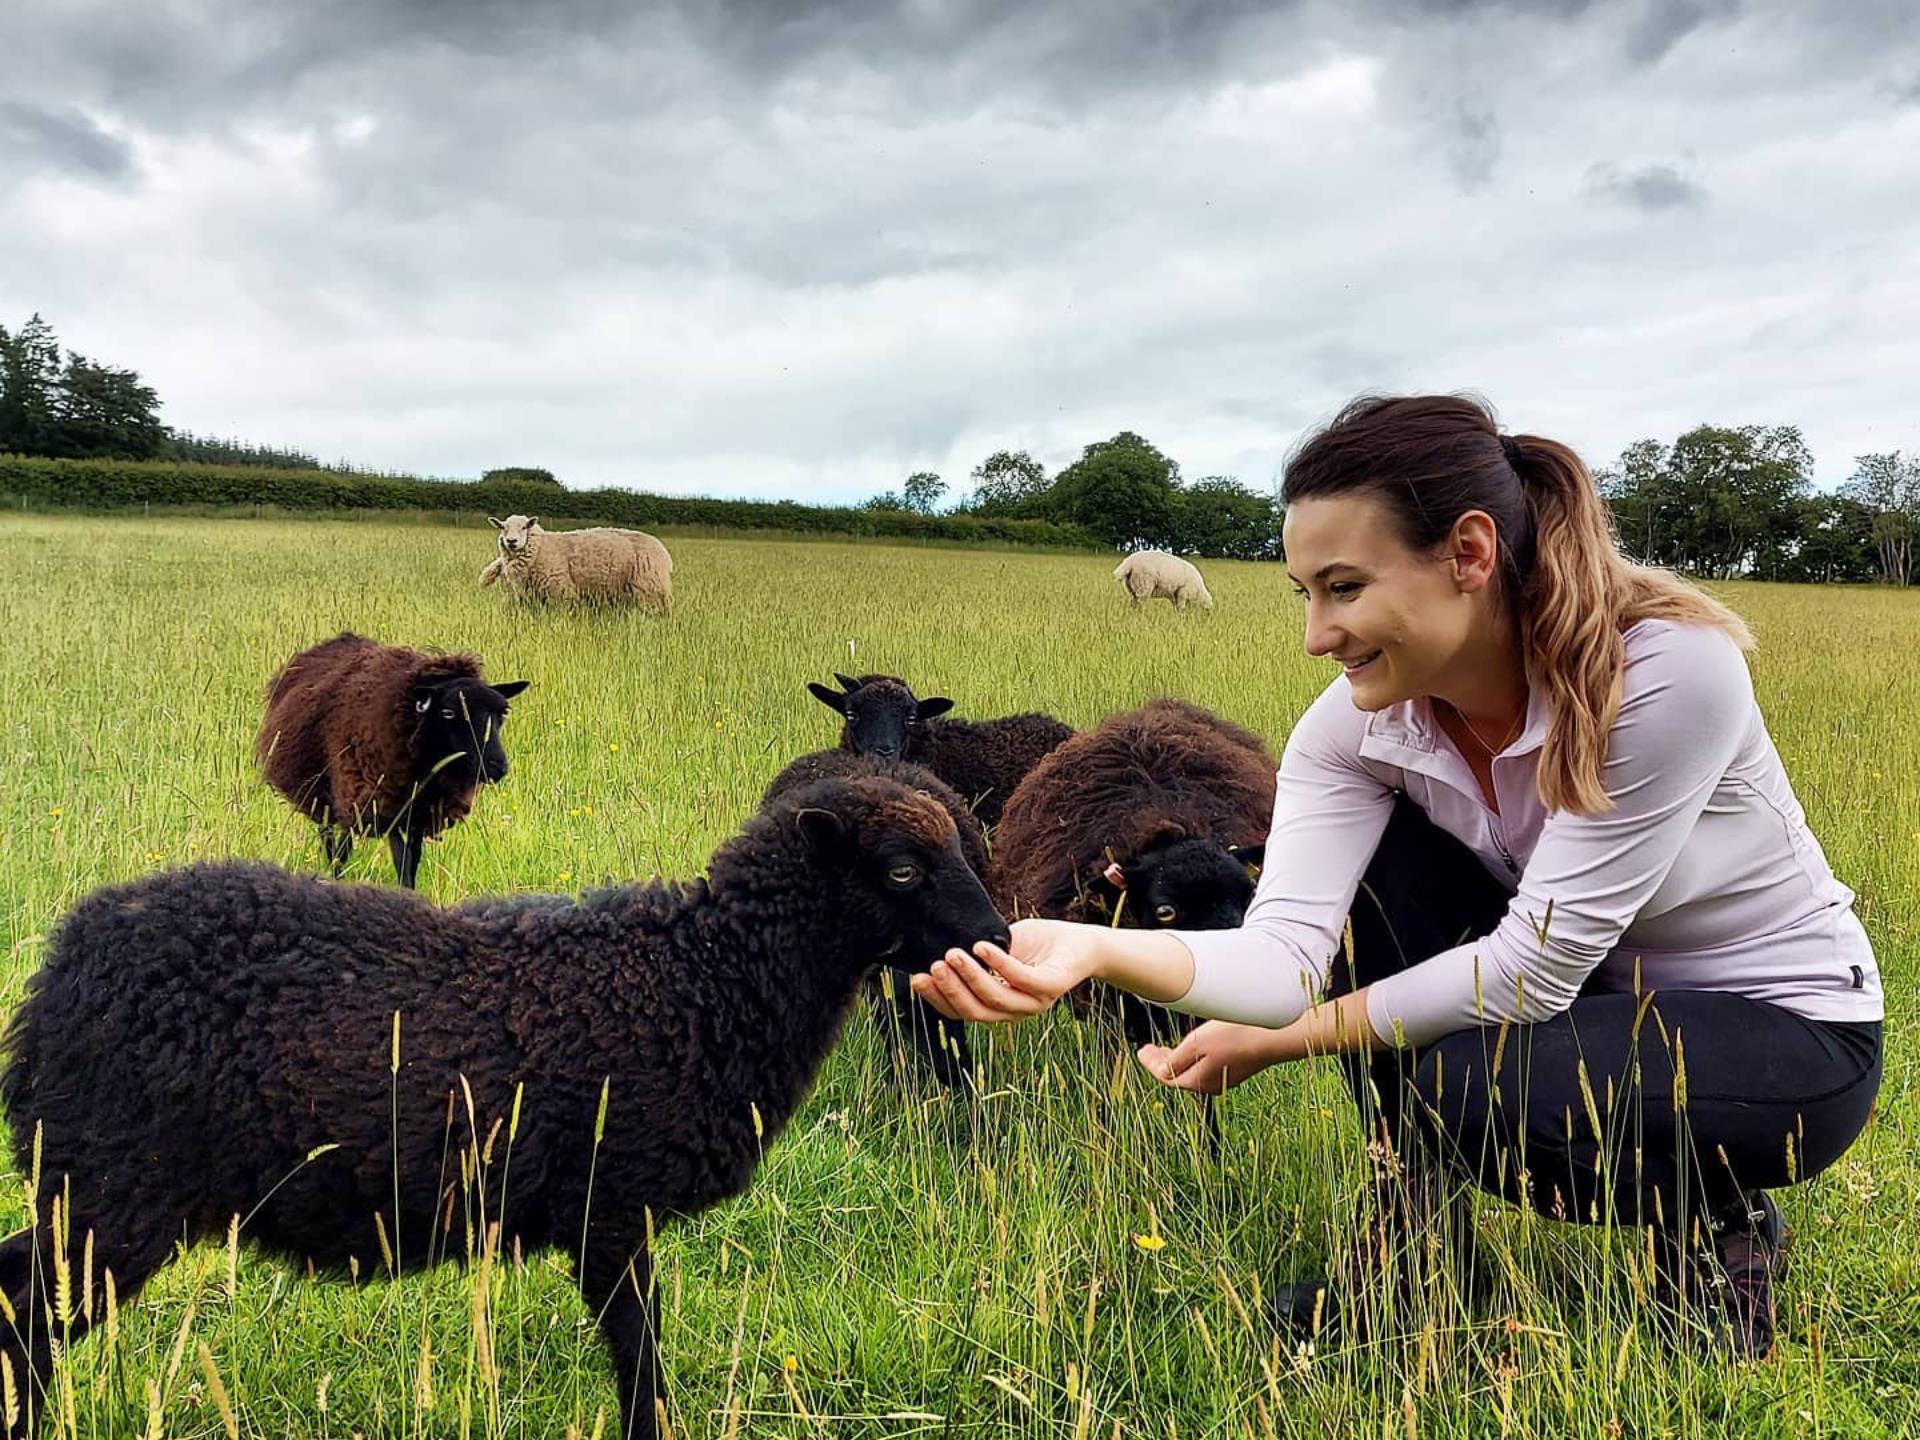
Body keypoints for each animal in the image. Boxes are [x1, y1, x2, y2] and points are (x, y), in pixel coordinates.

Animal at [0, 779, 1013, 1440]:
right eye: (902, 870)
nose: (1001, 940)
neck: (702, 975)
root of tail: (58, 975)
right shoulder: (611, 1209)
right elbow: (639, 1361)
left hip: (95, 1191)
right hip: (114, 1194)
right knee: (23, 1313)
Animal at [255, 633, 529, 890]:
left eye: (503, 713)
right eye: (448, 712)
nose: (497, 766)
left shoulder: (418, 814)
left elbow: (412, 860)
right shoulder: (390, 807)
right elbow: (401, 860)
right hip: (326, 796)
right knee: (334, 845)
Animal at [480, 514, 675, 610]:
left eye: (524, 527)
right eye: (503, 528)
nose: (511, 541)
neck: (540, 548)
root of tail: (664, 554)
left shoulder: (560, 592)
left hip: (648, 590)